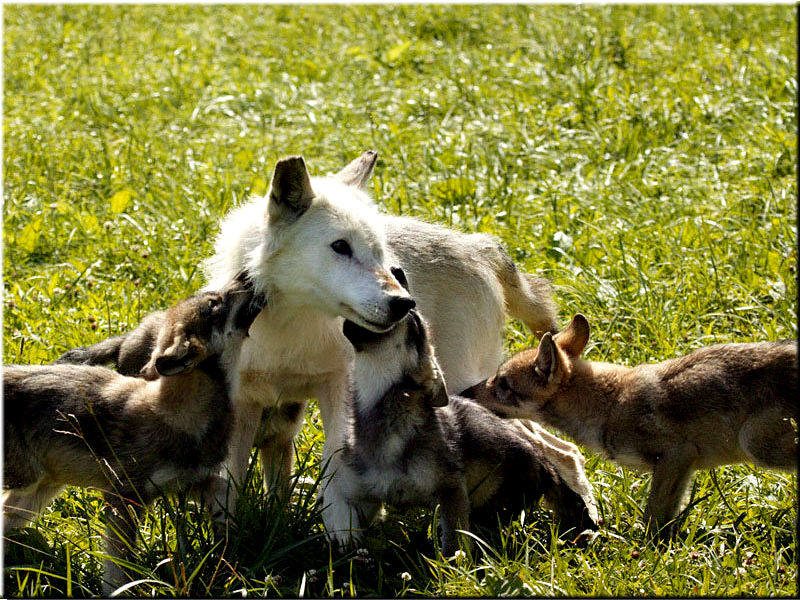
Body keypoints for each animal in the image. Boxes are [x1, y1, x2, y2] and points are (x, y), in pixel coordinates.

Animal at [203, 151, 596, 544]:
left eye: (380, 253)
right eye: (340, 247)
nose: (404, 303)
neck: (291, 326)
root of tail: (480, 246)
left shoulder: (339, 390)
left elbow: (333, 463)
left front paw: (344, 539)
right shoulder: (247, 403)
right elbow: (230, 481)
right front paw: (225, 541)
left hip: (471, 392)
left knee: (561, 449)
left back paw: (585, 523)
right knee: (559, 448)